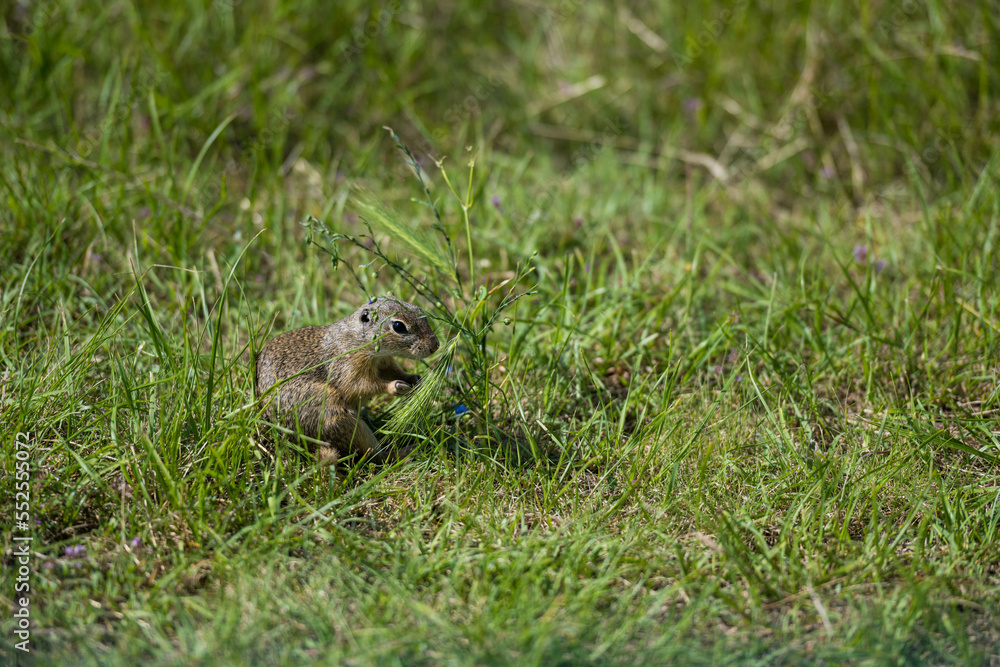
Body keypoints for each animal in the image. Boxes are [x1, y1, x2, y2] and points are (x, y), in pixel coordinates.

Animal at [255, 296, 440, 466]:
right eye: (398, 326)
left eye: (419, 310)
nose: (435, 346)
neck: (359, 340)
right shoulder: (349, 367)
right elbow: (362, 385)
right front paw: (395, 387)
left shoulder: (385, 362)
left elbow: (394, 371)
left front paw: (415, 379)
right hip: (344, 422)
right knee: (375, 456)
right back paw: (408, 451)